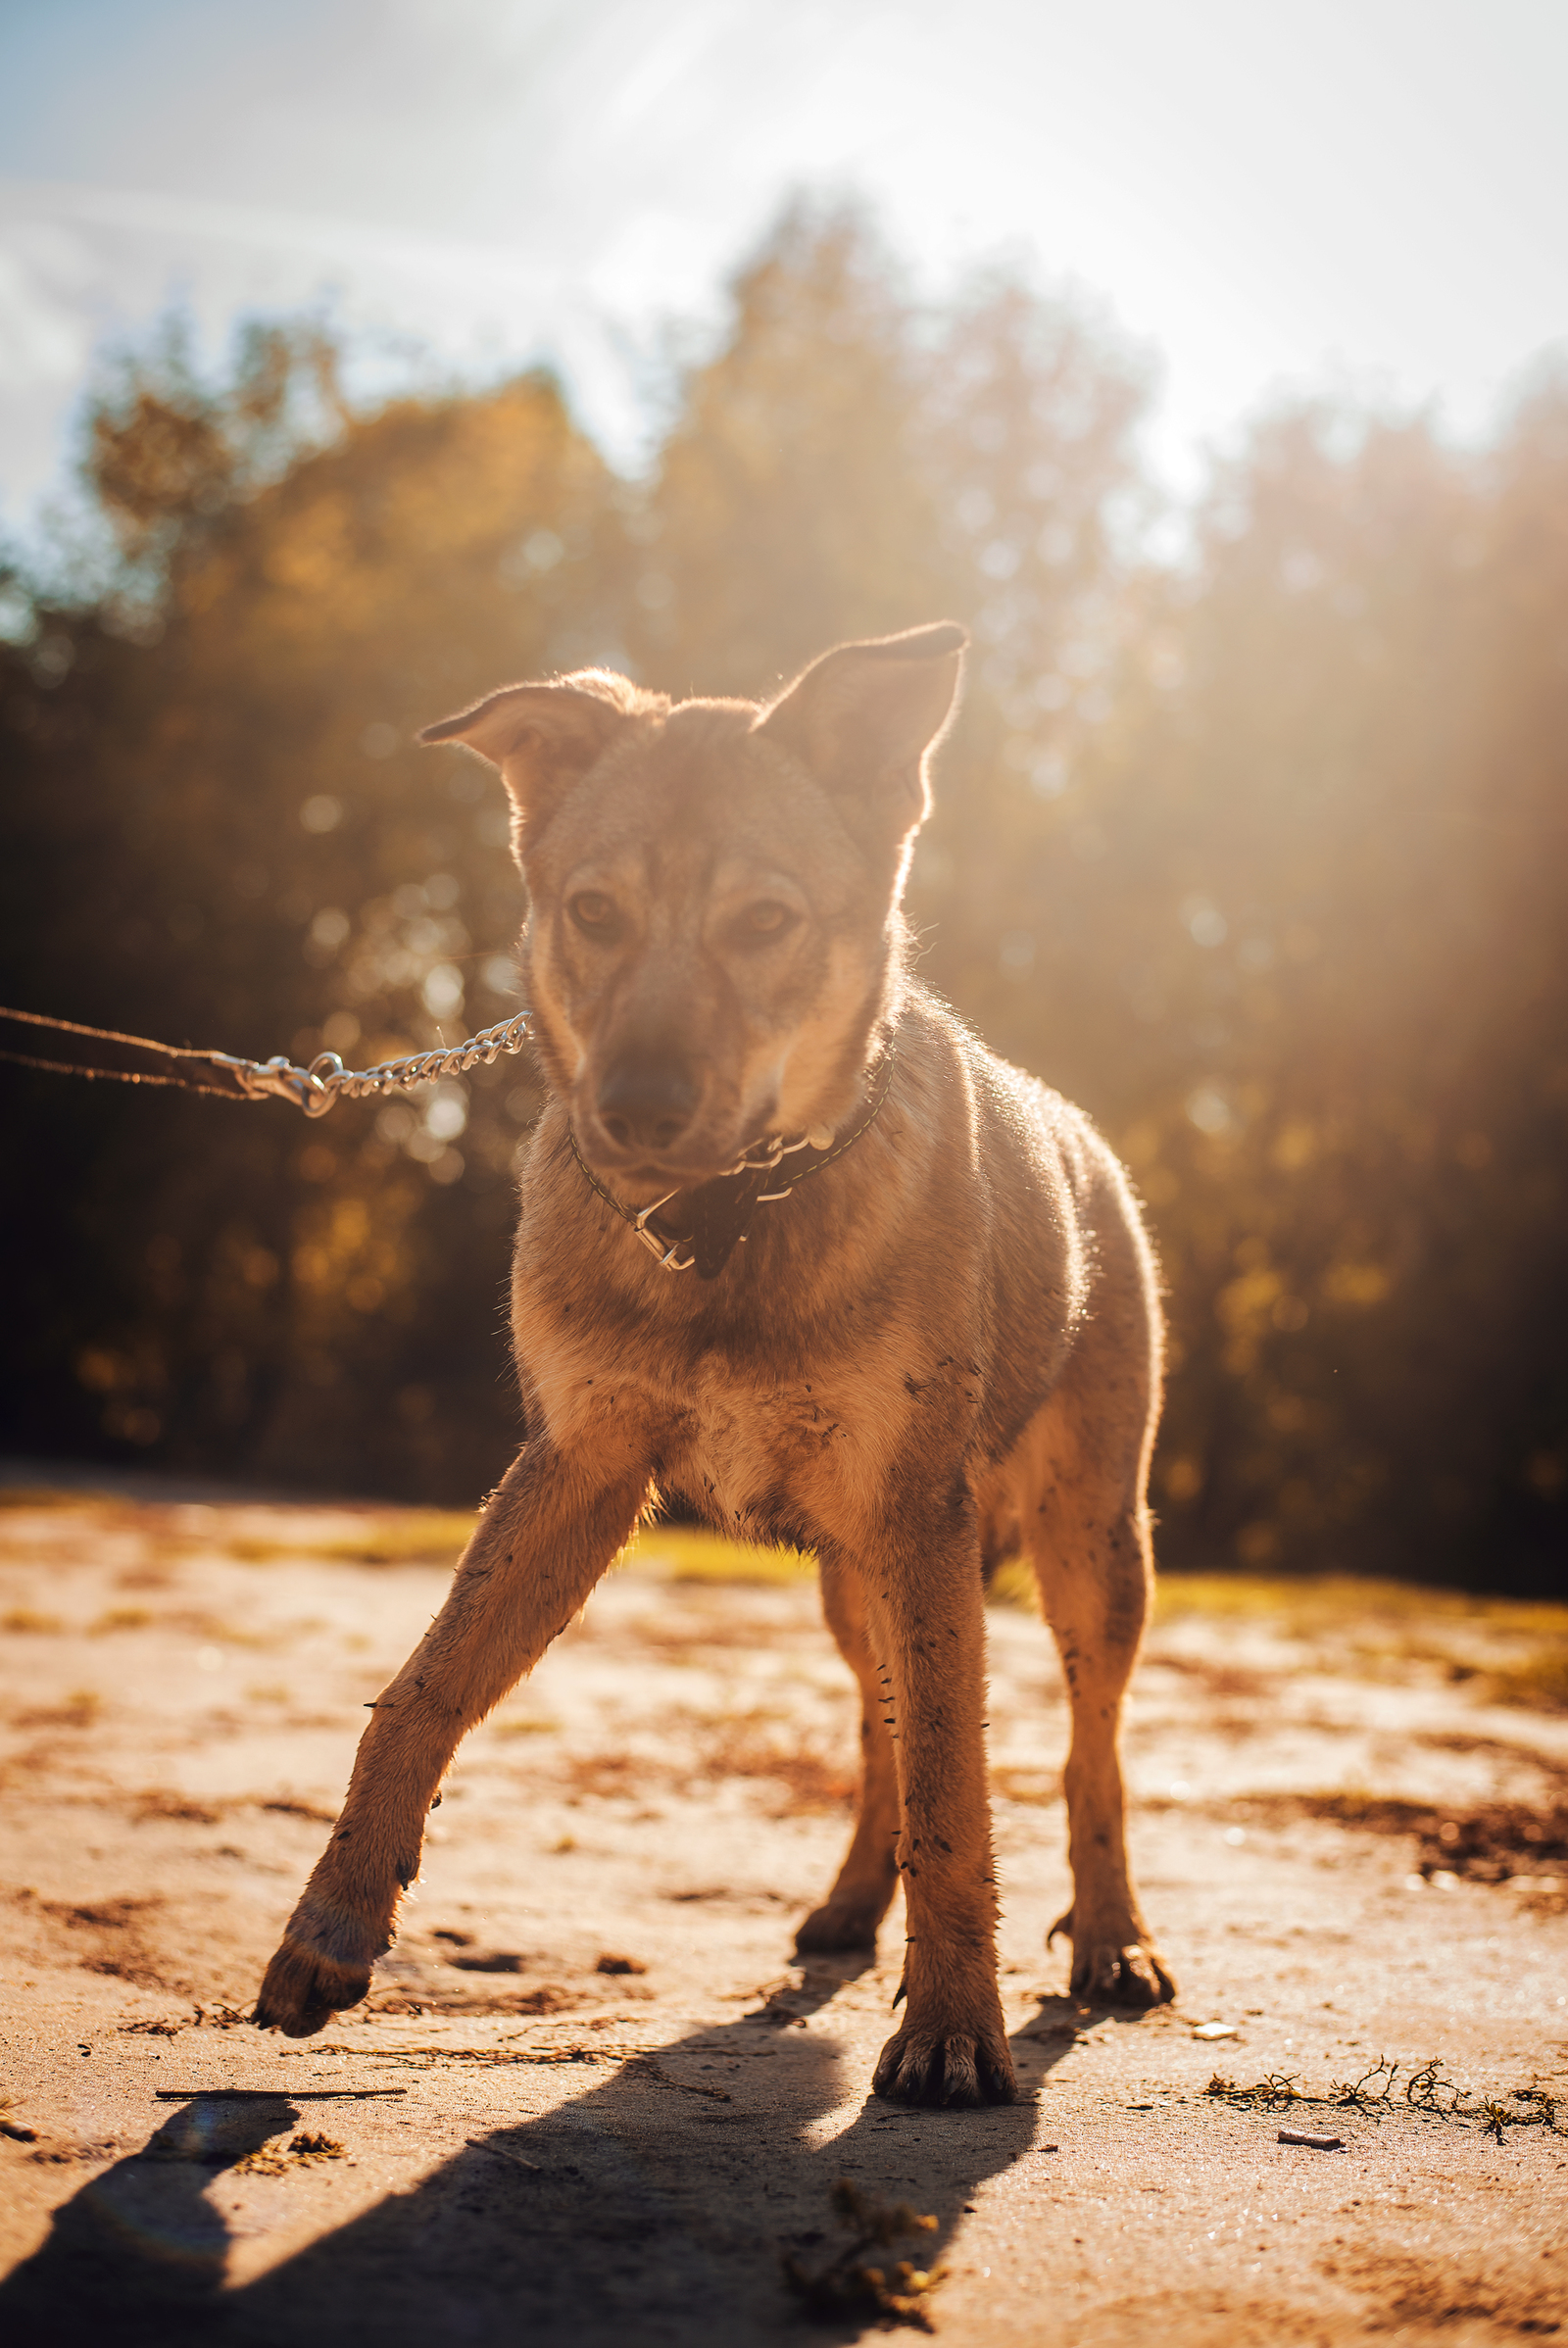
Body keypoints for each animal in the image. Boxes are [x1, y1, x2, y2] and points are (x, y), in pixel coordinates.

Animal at [251, 624, 1168, 2113]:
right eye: (593, 911)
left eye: (764, 921)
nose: (633, 1108)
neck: (722, 1232)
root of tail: (1085, 1138)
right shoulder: (578, 1465)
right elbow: (419, 1695)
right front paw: (329, 1926)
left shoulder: (917, 1514)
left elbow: (958, 1795)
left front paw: (952, 2026)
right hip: (861, 1586)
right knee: (881, 1732)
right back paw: (853, 1905)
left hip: (1086, 1551)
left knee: (1089, 1753)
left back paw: (1113, 1939)